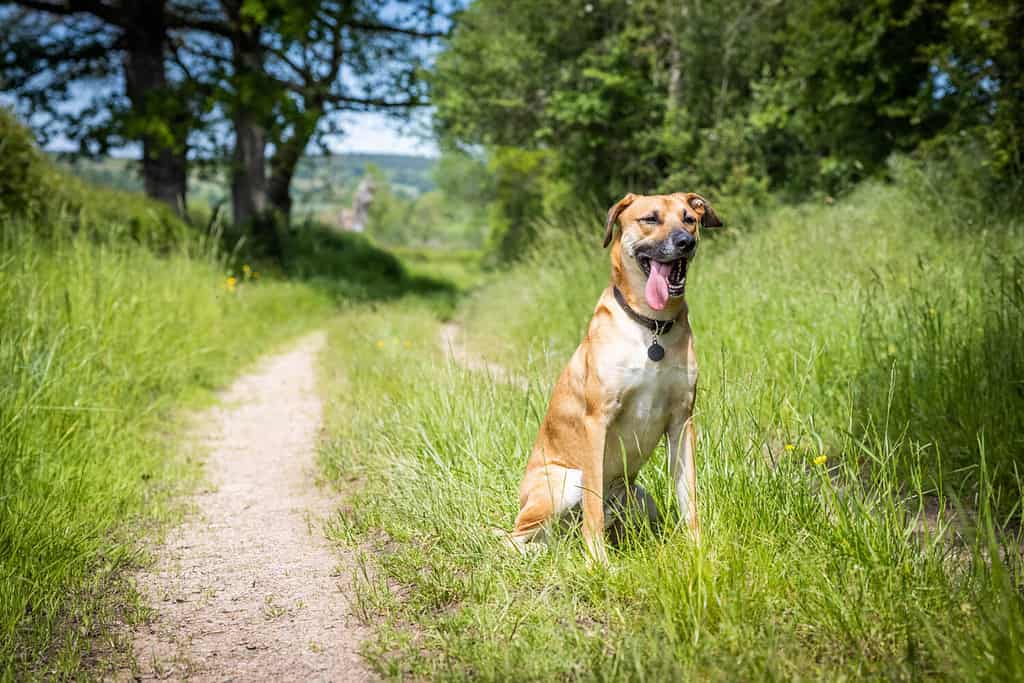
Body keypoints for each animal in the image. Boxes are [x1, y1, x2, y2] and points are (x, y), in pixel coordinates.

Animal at [505, 191, 720, 561]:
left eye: (689, 219)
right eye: (650, 218)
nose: (685, 242)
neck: (652, 328)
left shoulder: (682, 421)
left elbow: (689, 498)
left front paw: (698, 551)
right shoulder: (597, 421)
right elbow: (592, 508)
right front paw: (599, 563)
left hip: (640, 499)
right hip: (562, 484)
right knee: (513, 538)